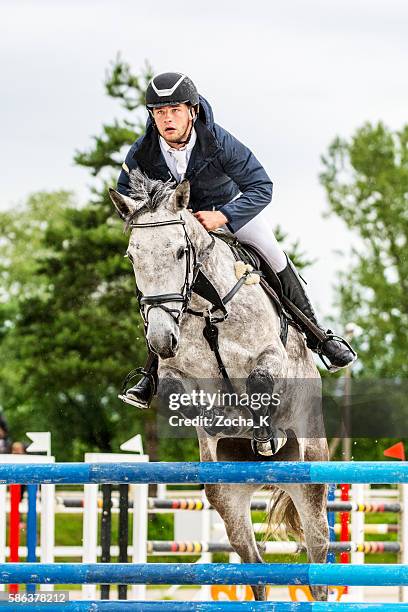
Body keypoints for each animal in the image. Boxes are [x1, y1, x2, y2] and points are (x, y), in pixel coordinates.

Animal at [110, 172, 330, 604]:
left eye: (181, 252)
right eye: (132, 256)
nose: (160, 338)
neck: (206, 305)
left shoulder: (271, 357)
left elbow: (260, 382)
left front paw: (264, 435)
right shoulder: (176, 370)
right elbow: (183, 397)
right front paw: (219, 420)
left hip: (309, 480)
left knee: (318, 560)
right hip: (227, 498)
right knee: (256, 568)